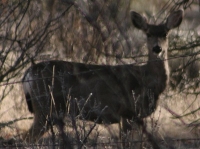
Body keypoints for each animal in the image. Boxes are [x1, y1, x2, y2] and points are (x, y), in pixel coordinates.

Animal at [21, 10, 183, 147]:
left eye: (165, 33)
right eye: (148, 34)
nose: (157, 48)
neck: (146, 80)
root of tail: (28, 74)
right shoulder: (126, 112)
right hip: (45, 107)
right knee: (26, 138)